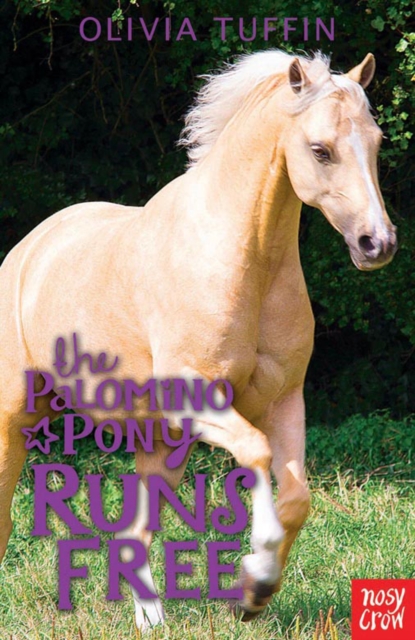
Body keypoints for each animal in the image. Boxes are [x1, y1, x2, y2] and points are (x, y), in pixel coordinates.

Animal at [0, 50, 397, 628]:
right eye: (320, 149)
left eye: (376, 143)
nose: (377, 244)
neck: (246, 261)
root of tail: (28, 250)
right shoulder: (203, 403)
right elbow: (255, 454)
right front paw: (255, 577)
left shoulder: (283, 402)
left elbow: (297, 497)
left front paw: (255, 594)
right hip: (16, 418)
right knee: (7, 514)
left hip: (161, 442)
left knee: (136, 533)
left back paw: (150, 620)